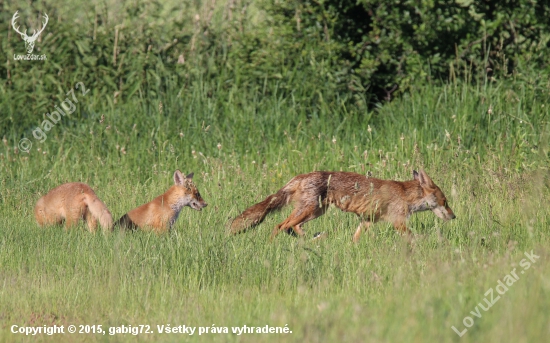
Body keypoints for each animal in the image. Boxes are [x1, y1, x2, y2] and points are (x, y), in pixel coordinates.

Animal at [229, 170, 458, 242]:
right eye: (445, 202)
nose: (454, 216)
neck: (404, 194)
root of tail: (300, 176)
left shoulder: (367, 221)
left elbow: (355, 238)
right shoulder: (399, 222)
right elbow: (415, 237)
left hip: (316, 212)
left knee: (291, 227)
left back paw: (311, 239)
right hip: (309, 210)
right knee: (280, 226)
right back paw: (274, 245)